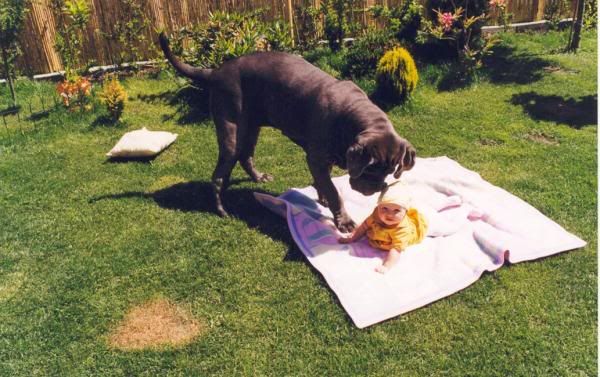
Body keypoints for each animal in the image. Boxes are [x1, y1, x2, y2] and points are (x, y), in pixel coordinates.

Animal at [158, 33, 418, 232]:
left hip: (251, 126)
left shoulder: (321, 160)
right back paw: (222, 209)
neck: (353, 115)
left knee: (245, 155)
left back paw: (258, 177)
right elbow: (334, 191)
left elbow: (324, 183)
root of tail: (215, 71)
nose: (377, 188)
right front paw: (343, 220)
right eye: (370, 169)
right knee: (220, 174)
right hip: (231, 129)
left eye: (391, 170)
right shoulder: (316, 158)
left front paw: (324, 198)